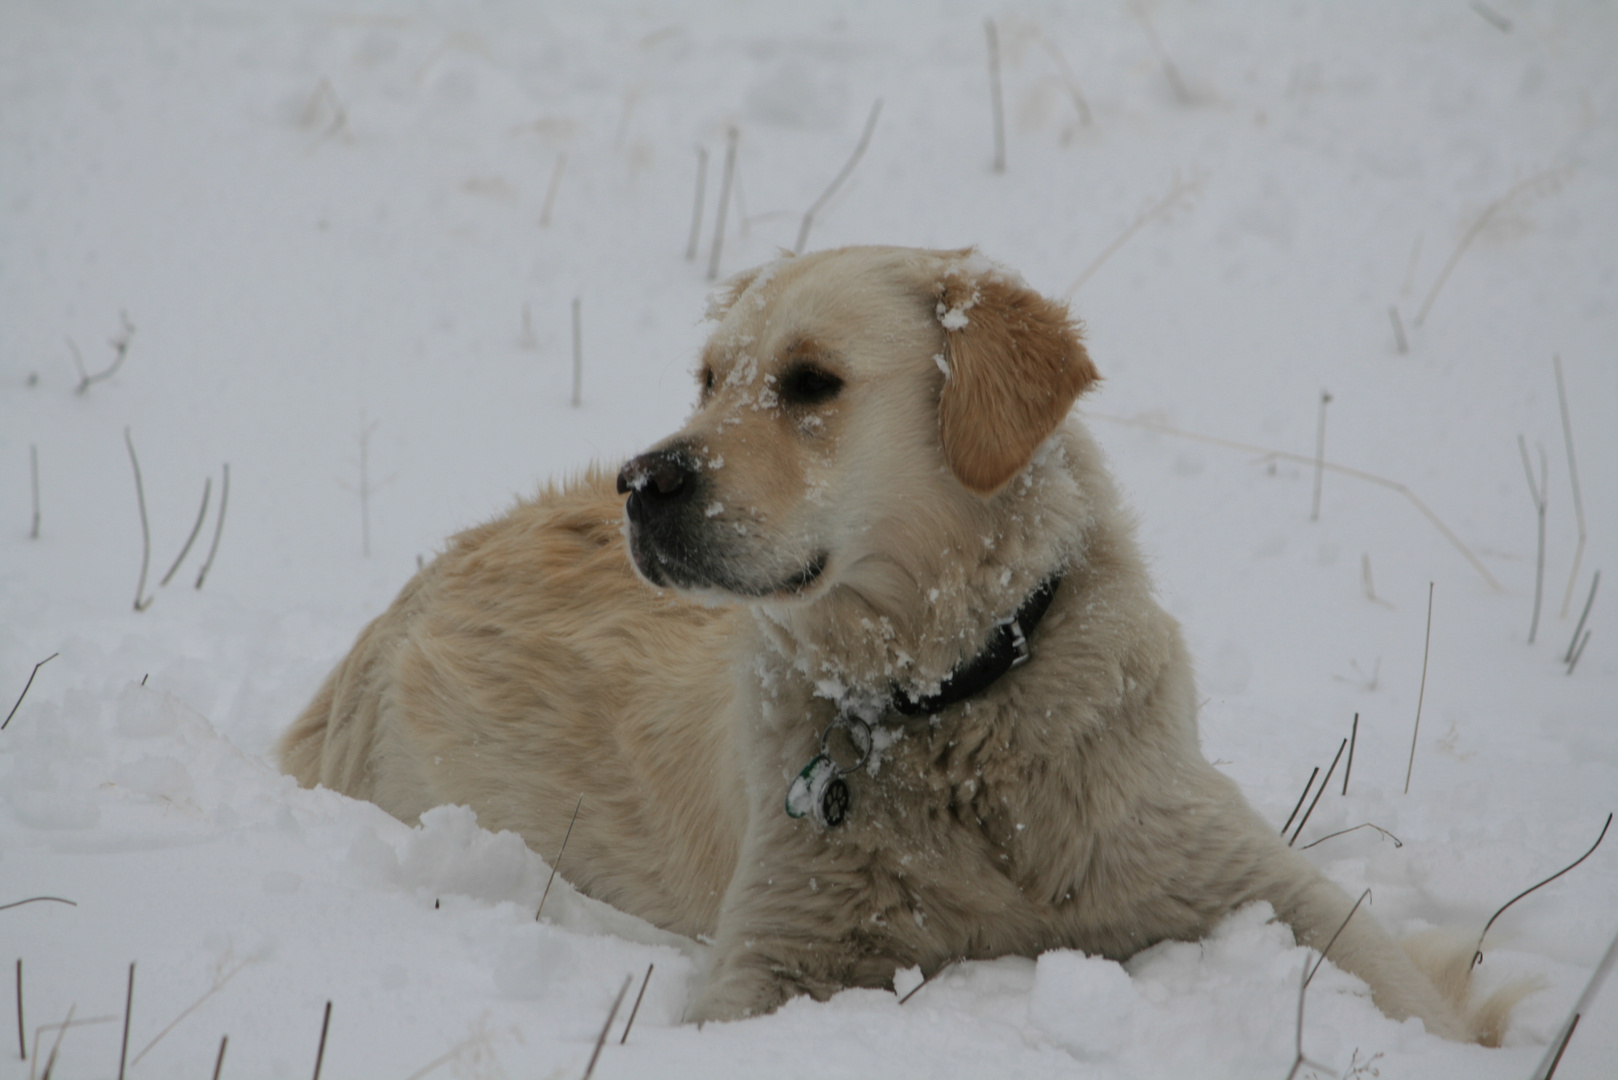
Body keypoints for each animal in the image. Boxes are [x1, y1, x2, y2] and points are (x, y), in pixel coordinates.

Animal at [275, 244, 1514, 1036]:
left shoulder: (1244, 874)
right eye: (709, 380)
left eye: (810, 382)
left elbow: (1398, 982)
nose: (642, 482)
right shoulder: (765, 956)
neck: (945, 706)